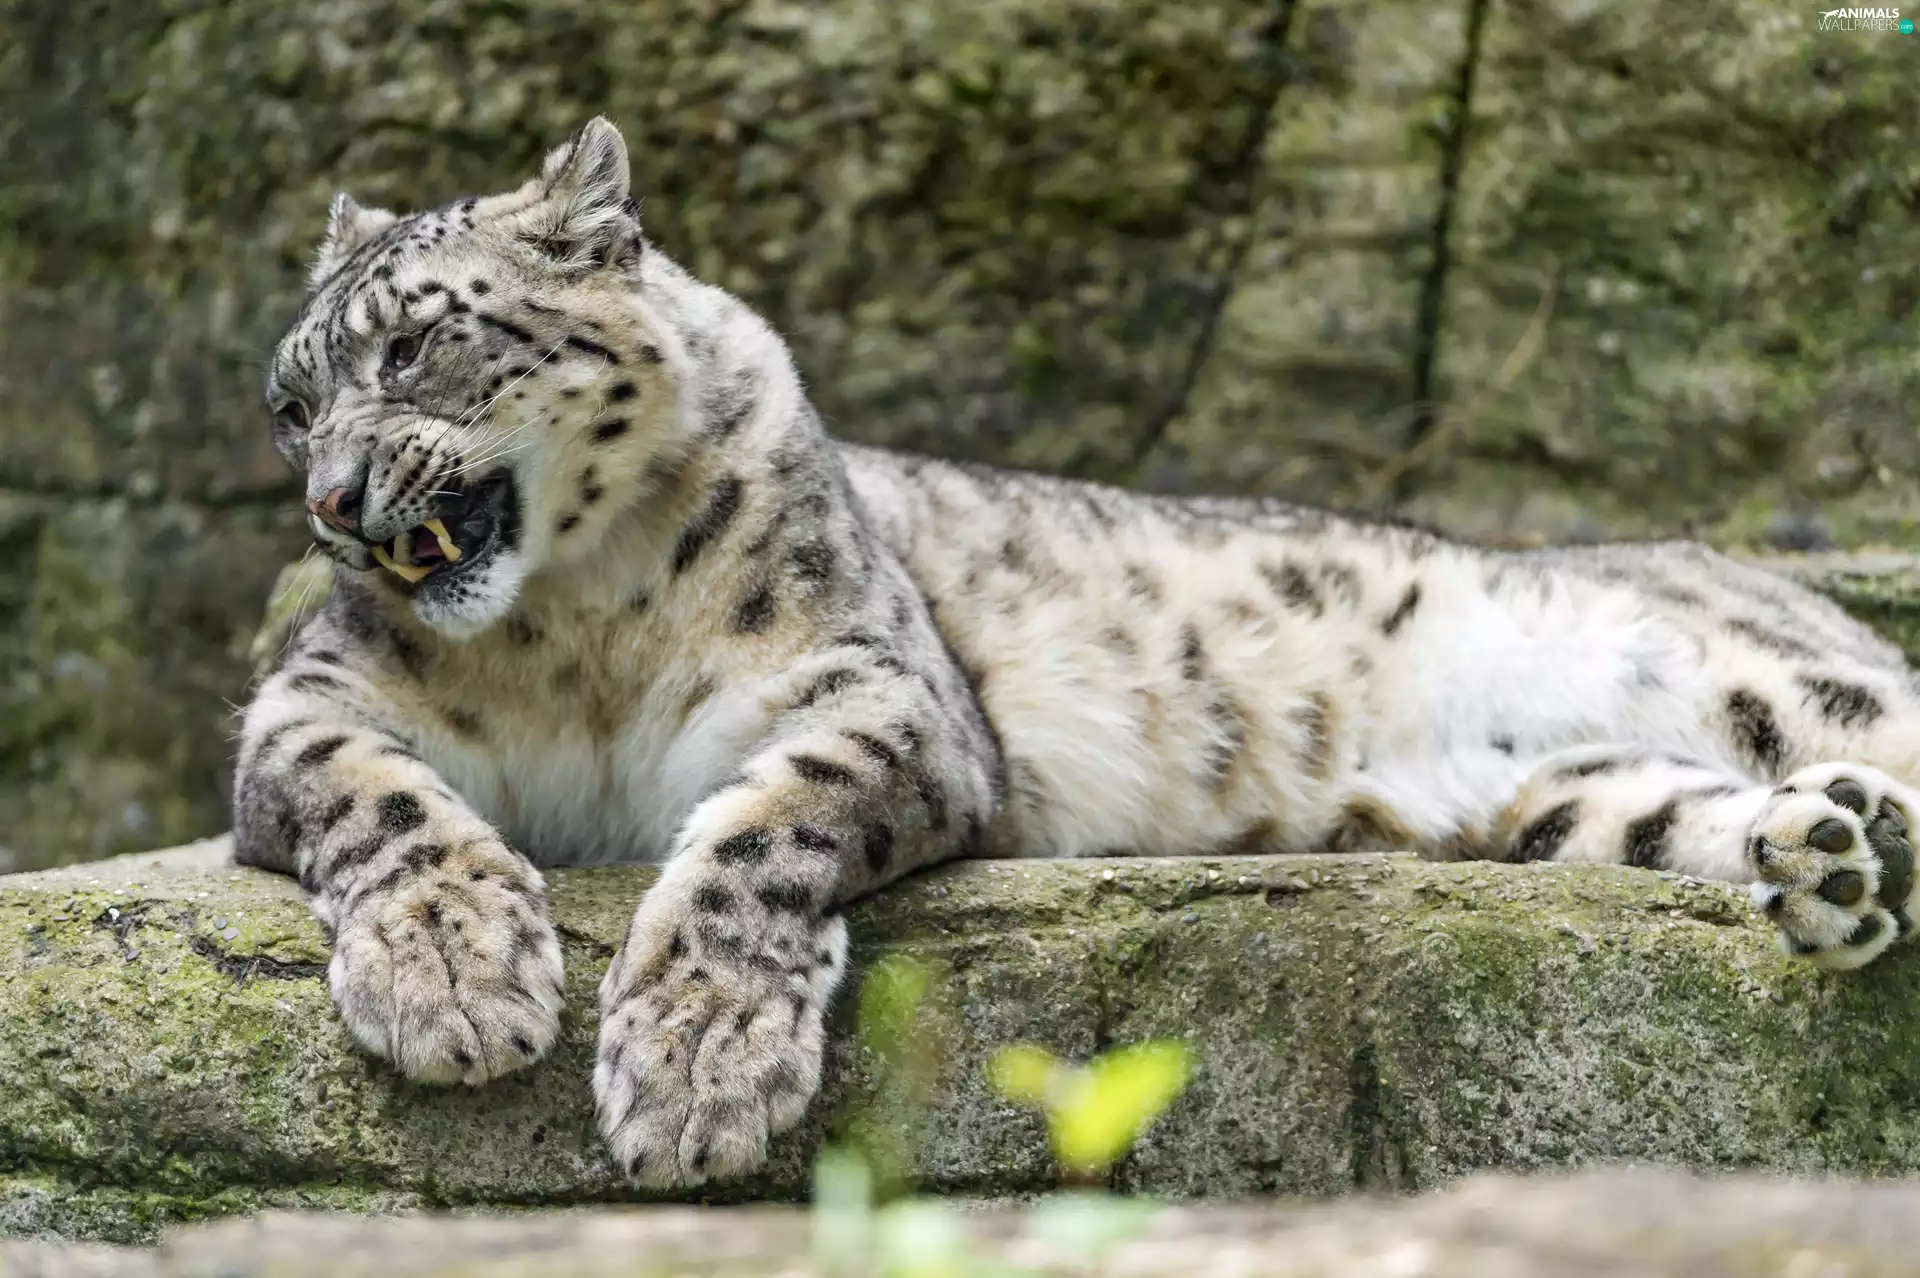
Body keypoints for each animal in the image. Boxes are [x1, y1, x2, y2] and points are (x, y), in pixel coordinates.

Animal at [234, 117, 1920, 1188]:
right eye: (291, 404)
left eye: (411, 343)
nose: (329, 501)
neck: (578, 628)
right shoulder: (303, 704)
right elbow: (371, 797)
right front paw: (455, 980)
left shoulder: (877, 689)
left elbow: (757, 837)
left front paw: (695, 1067)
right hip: (1574, 797)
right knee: (1698, 811)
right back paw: (1838, 855)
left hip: (1762, 671)